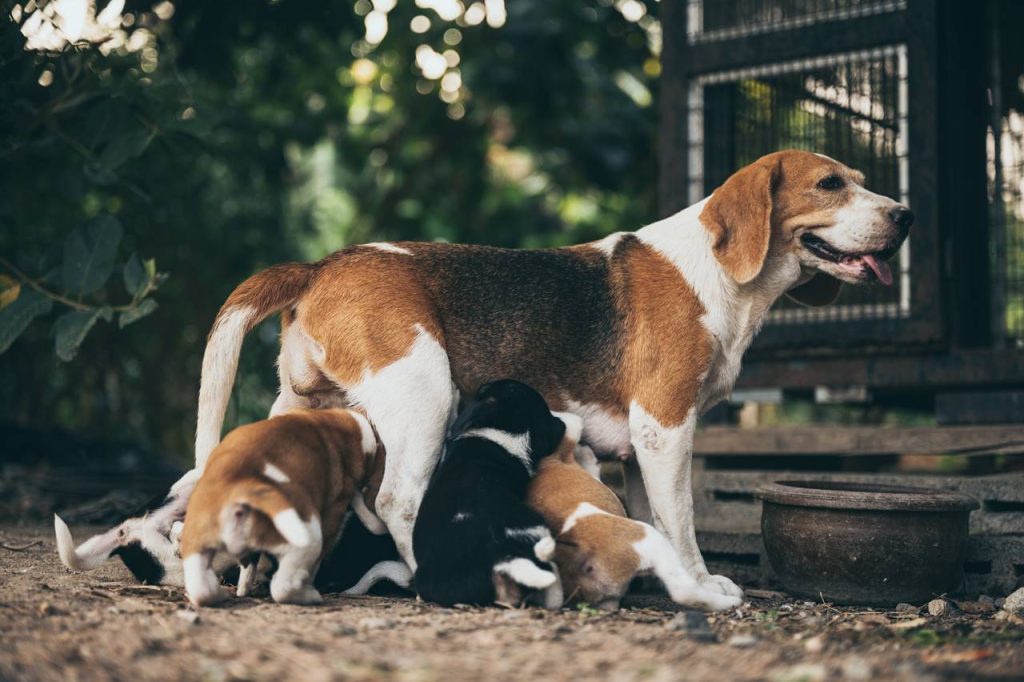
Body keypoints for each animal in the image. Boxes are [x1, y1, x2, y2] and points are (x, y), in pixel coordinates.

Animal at [178, 405, 382, 602]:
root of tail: (244, 487)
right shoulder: (333, 516)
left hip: (196, 548)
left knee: (203, 587)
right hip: (306, 539)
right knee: (283, 586)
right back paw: (308, 596)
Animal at [409, 376, 569, 606]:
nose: (562, 423)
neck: (503, 431)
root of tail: (499, 556)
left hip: (428, 579)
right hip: (537, 525)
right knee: (551, 582)